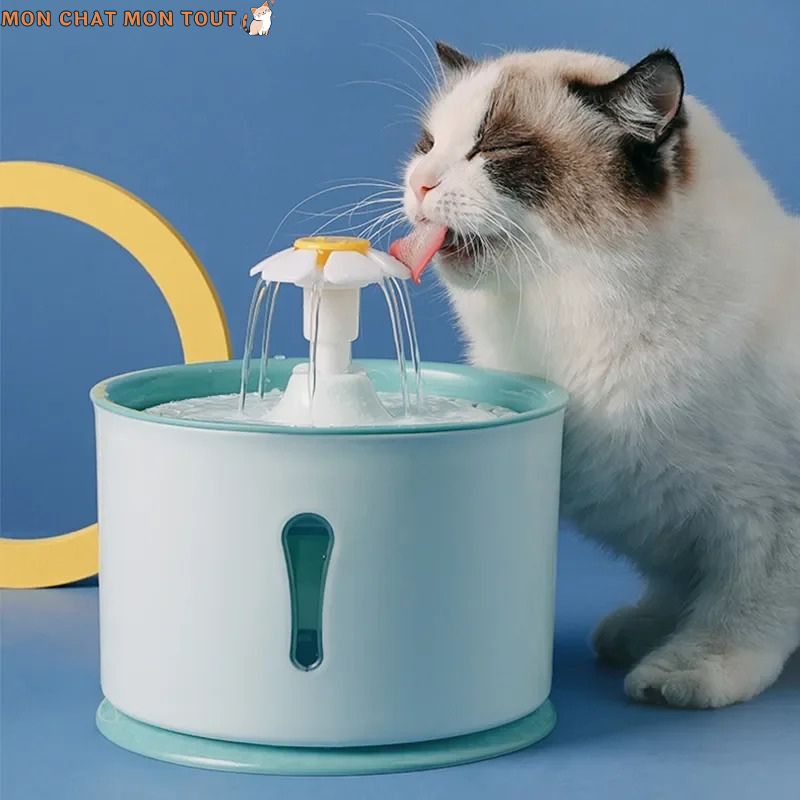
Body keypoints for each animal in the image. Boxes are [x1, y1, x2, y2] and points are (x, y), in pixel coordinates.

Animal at [392, 42, 800, 708]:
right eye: (427, 144)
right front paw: (645, 630)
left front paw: (685, 670)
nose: (418, 182)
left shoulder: (769, 522)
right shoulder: (664, 513)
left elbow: (738, 612)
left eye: (498, 148)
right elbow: (676, 584)